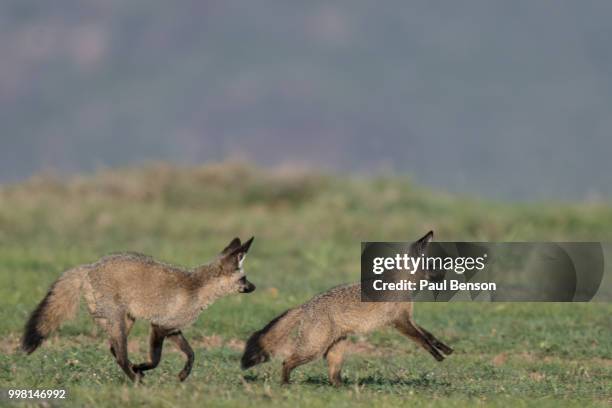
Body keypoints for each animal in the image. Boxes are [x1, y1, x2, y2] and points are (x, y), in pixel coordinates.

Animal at [22, 236, 256, 382]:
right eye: (244, 278)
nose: (254, 287)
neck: (197, 289)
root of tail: (90, 267)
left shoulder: (173, 329)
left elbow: (191, 355)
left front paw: (182, 375)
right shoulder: (158, 326)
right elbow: (156, 360)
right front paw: (142, 367)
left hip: (126, 321)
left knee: (114, 350)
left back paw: (134, 374)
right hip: (119, 322)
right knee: (120, 355)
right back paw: (136, 377)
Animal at [241, 231, 452, 388]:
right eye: (433, 265)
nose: (445, 275)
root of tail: (305, 305)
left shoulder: (408, 318)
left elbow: (430, 335)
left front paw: (444, 348)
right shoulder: (399, 321)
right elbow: (422, 339)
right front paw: (437, 355)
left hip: (336, 350)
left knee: (333, 376)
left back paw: (344, 389)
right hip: (313, 349)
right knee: (287, 362)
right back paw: (285, 384)